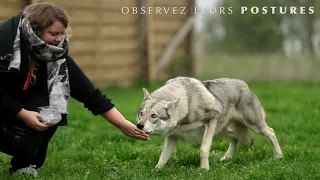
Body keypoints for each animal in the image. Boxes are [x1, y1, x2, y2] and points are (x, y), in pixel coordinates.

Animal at [136, 76, 284, 169]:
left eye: (153, 115)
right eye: (141, 114)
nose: (139, 125)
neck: (187, 102)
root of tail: (244, 84)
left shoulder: (211, 121)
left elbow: (204, 149)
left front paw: (204, 169)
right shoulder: (172, 136)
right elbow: (162, 157)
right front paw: (156, 170)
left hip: (254, 126)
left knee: (271, 132)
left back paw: (278, 157)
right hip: (222, 132)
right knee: (236, 138)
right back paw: (226, 159)